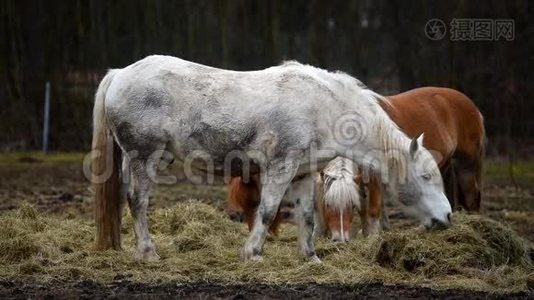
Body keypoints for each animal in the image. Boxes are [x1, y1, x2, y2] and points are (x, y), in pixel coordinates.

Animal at [91, 55, 452, 262]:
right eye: (425, 177)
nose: (447, 217)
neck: (323, 106)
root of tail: (120, 73)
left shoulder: (304, 174)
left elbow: (306, 216)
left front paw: (310, 257)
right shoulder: (281, 169)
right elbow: (266, 211)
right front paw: (253, 253)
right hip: (144, 158)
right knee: (138, 201)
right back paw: (148, 253)